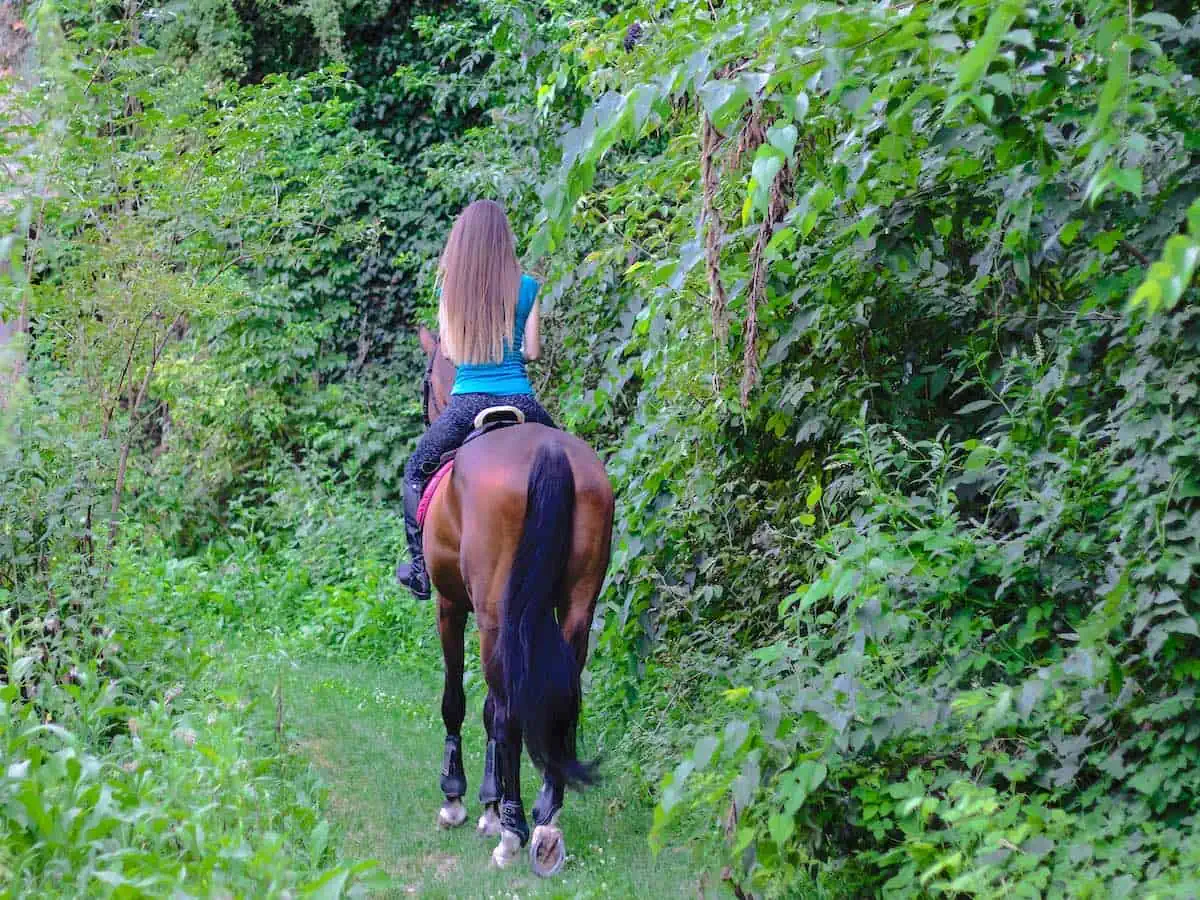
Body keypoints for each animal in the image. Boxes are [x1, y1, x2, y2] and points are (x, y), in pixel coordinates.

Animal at [415, 328, 614, 878]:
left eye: (425, 383)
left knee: (504, 711)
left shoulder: (451, 605)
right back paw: (544, 821)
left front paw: (460, 800)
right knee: (558, 701)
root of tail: (548, 451)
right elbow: (488, 705)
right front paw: (489, 803)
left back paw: (513, 831)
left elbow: (459, 702)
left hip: (492, 614)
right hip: (575, 611)